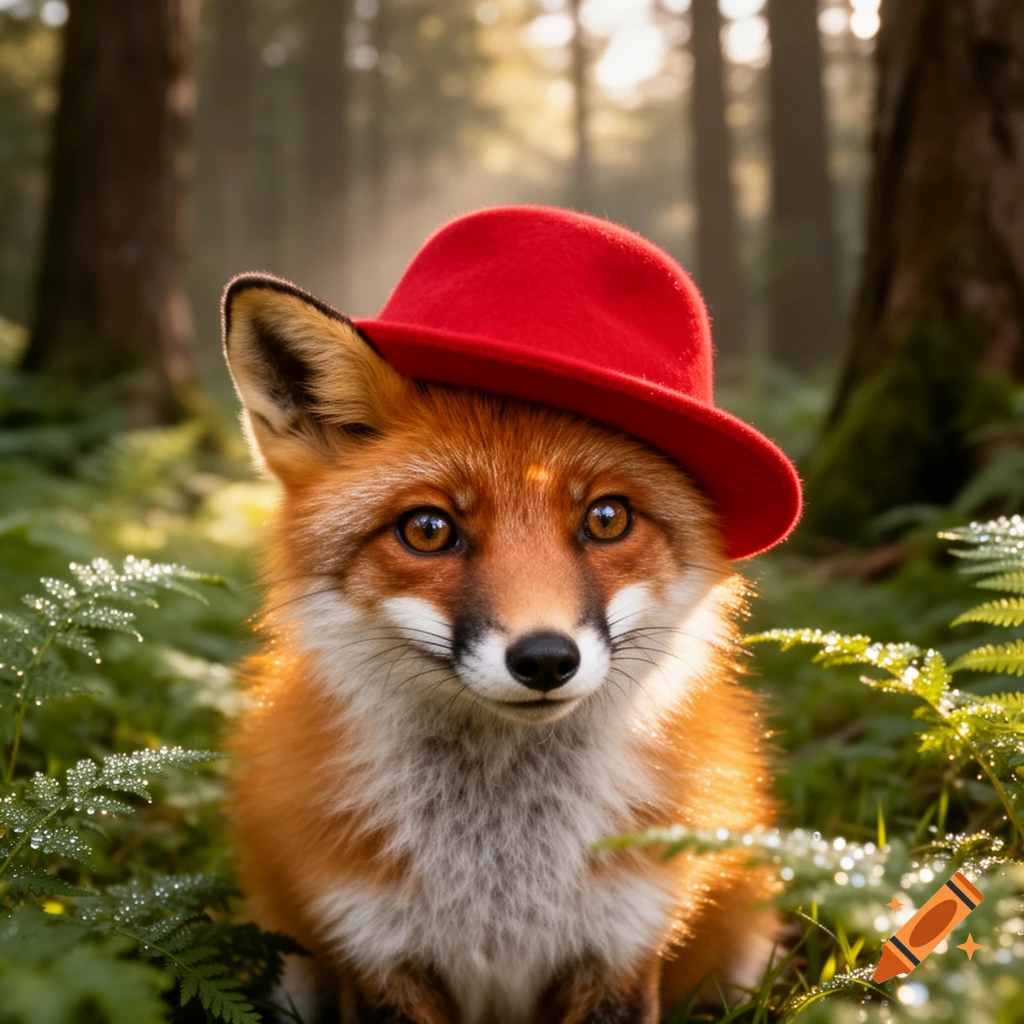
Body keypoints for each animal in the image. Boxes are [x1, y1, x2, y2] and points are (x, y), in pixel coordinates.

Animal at [223, 266, 782, 1023]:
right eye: (428, 530)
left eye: (607, 518)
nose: (545, 659)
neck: (502, 871)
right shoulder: (374, 948)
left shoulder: (621, 942)